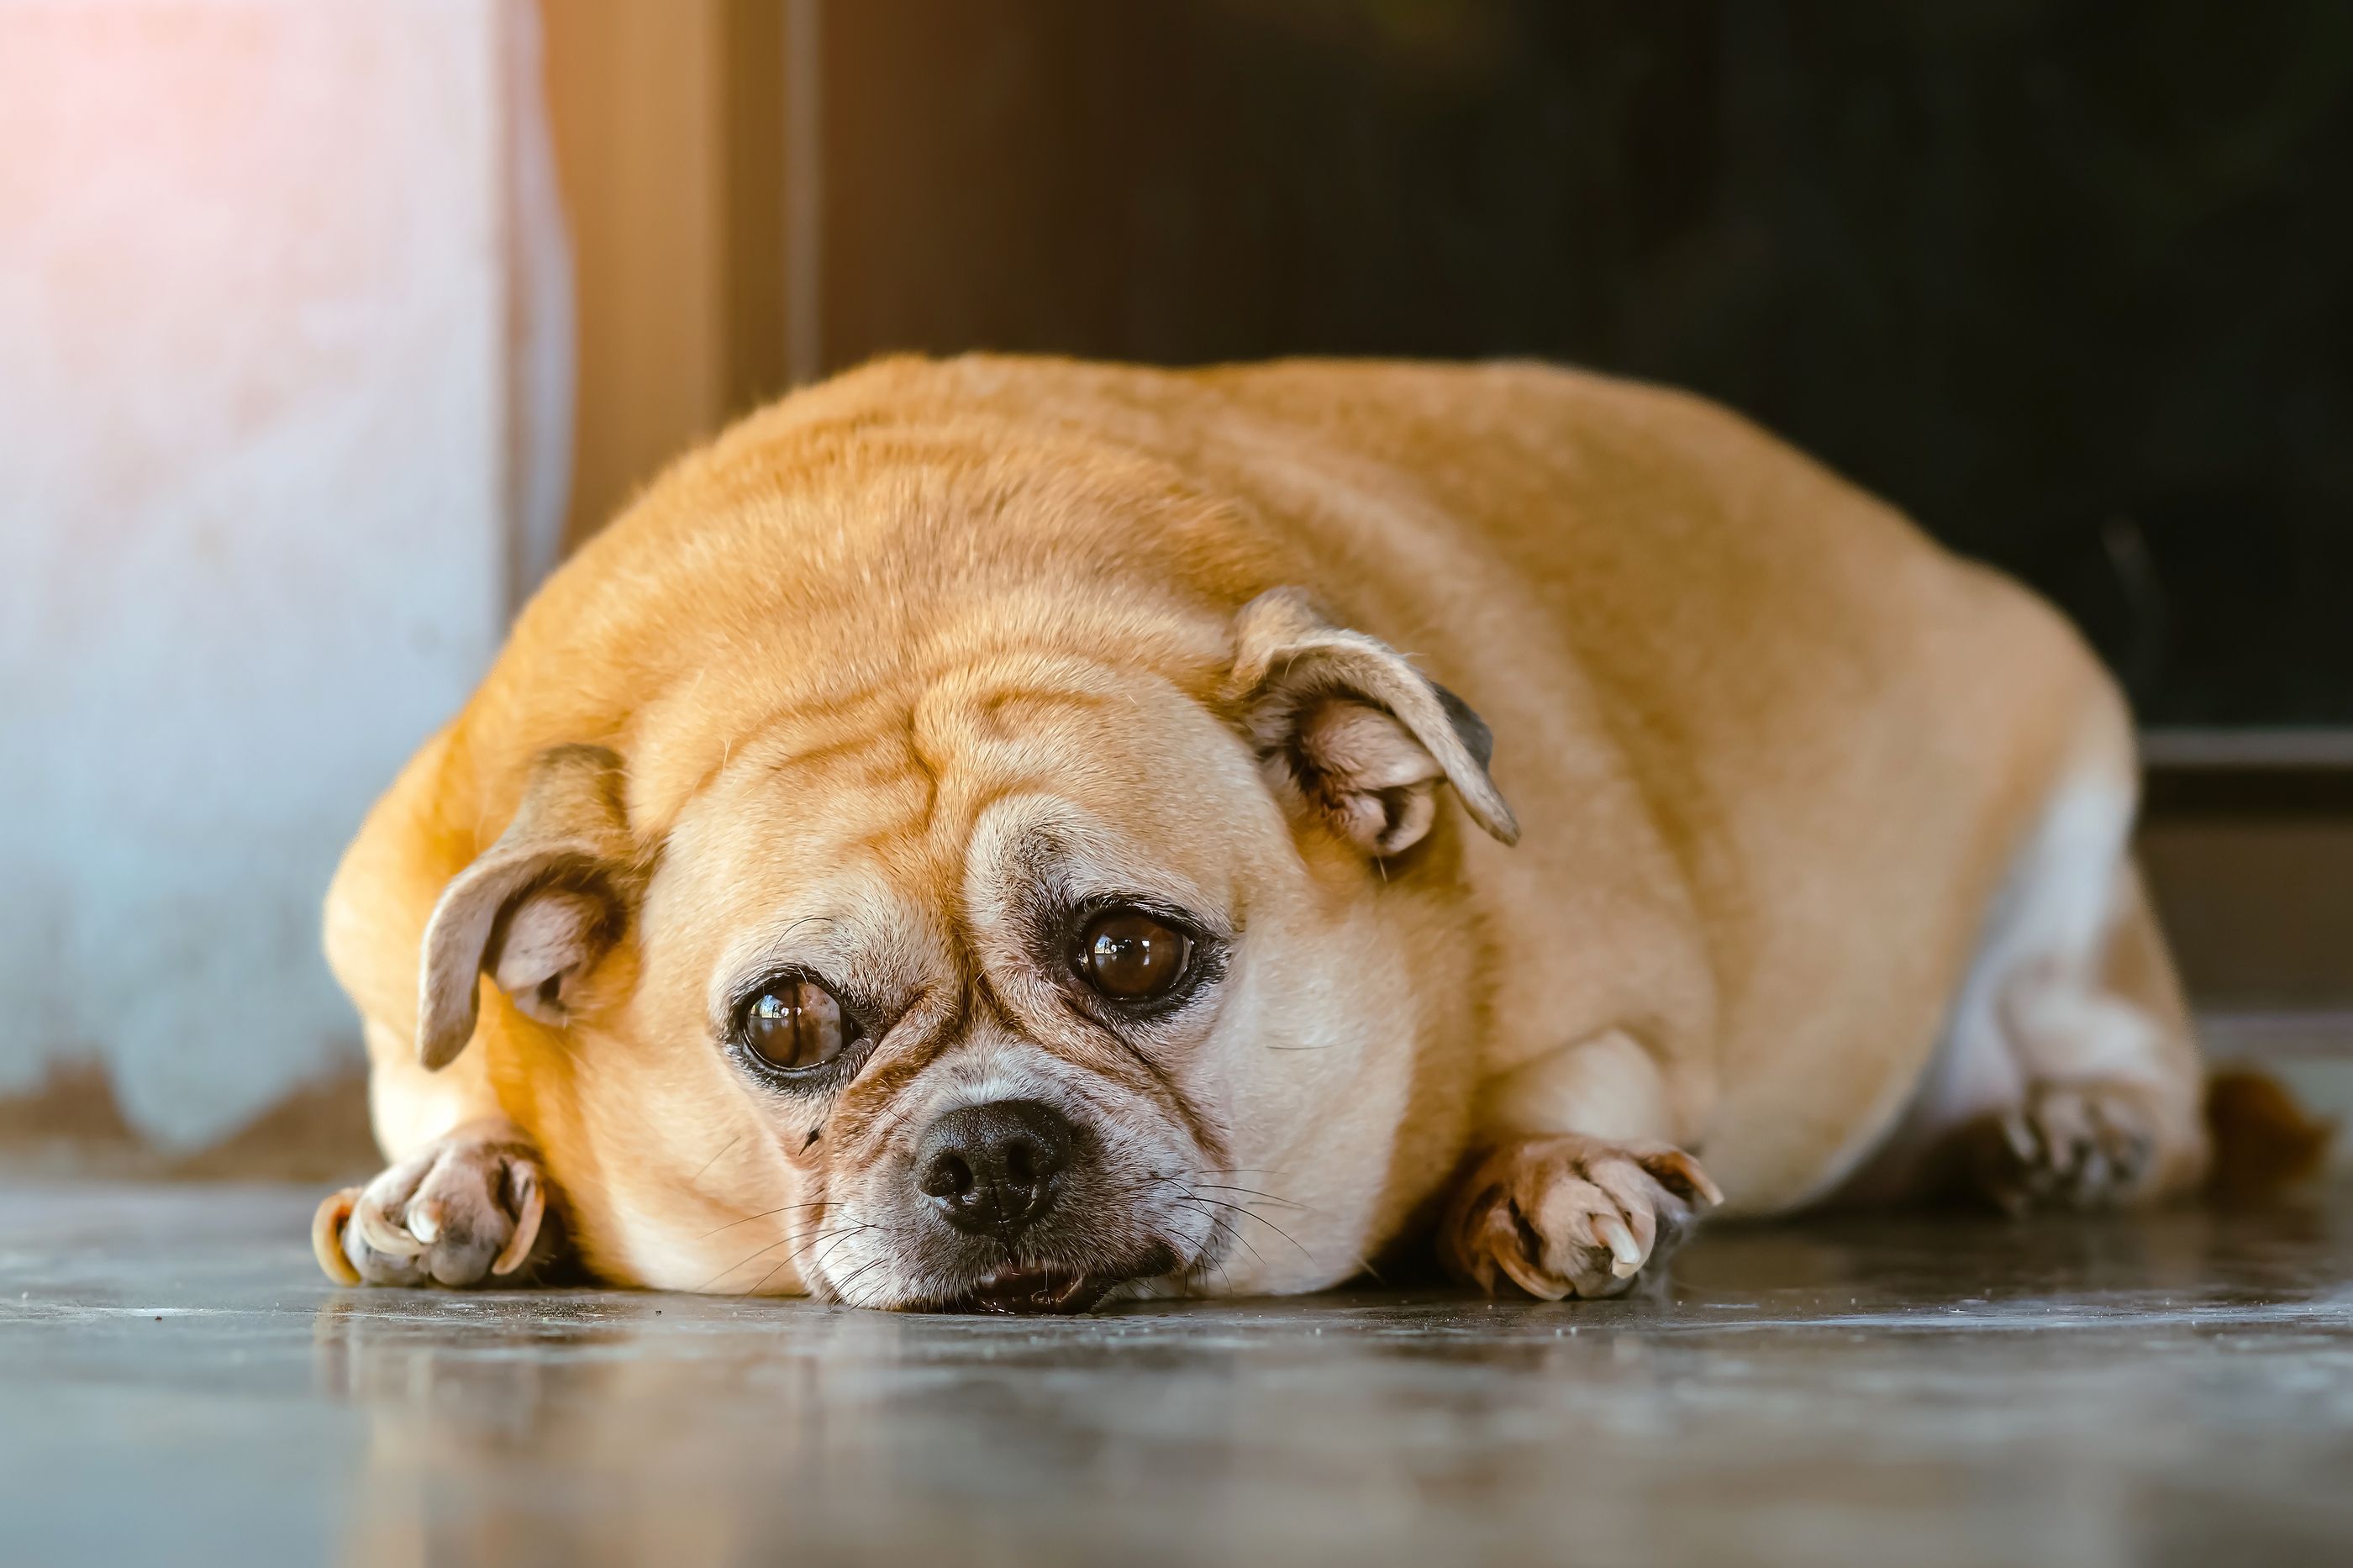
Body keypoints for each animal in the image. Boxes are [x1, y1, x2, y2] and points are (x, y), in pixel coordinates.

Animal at [313, 353, 2221, 1308]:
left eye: (1132, 952)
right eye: (783, 1026)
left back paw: (2067, 1133)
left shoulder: (1618, 1011)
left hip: (2072, 850)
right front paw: (458, 1178)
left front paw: (1549, 1177)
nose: (989, 1149)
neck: (899, 599)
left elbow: (1582, 1092)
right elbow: (442, 1085)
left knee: (2156, 1088)